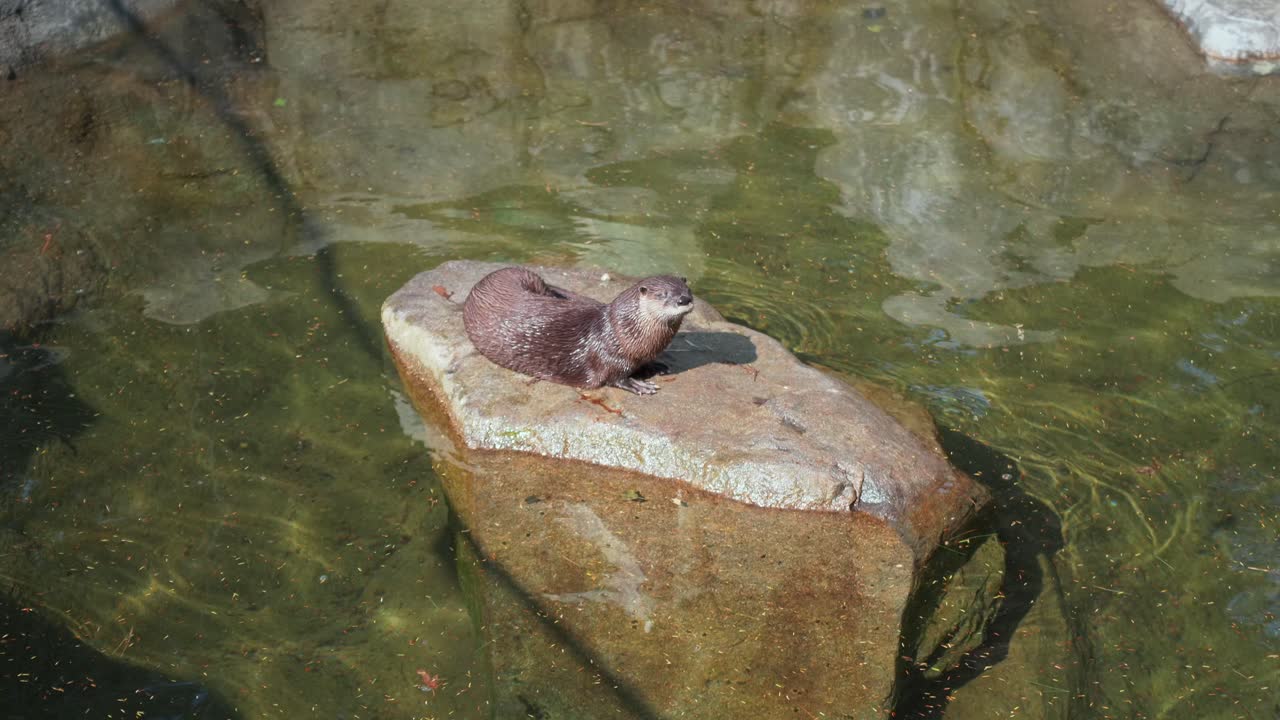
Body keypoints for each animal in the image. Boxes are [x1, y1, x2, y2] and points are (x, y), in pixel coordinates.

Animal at [462, 267, 694, 394]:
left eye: (688, 290)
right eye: (663, 294)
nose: (684, 299)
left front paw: (655, 366)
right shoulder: (609, 357)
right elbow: (615, 378)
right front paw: (639, 385)